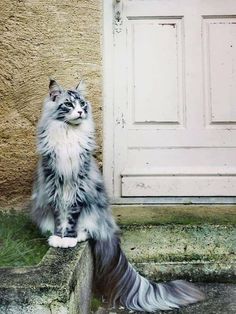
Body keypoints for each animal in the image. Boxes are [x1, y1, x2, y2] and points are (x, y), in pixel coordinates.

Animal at [30, 80, 205, 312]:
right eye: (68, 104)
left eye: (82, 104)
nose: (80, 111)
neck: (68, 134)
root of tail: (108, 227)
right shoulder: (54, 184)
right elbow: (60, 217)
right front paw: (59, 238)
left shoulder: (79, 186)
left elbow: (72, 218)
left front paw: (69, 238)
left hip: (94, 207)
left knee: (90, 228)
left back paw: (81, 235)